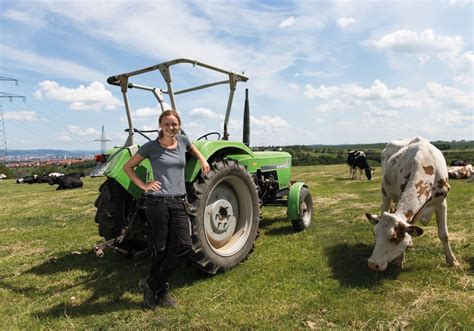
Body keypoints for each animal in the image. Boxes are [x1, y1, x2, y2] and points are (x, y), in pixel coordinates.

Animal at [362, 137, 460, 272]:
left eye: (394, 238)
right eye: (374, 234)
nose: (372, 264)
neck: (426, 162)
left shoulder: (441, 203)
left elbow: (444, 234)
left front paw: (452, 261)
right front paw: (399, 260)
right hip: (385, 193)